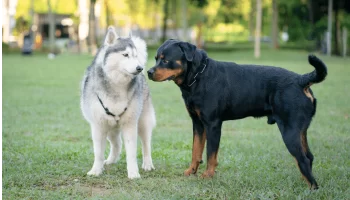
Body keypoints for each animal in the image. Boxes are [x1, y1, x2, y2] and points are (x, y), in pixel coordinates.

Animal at [80, 26, 156, 178]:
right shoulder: (98, 125)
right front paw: (96, 170)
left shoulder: (130, 124)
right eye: (125, 55)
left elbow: (131, 152)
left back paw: (147, 164)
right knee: (117, 144)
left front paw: (133, 173)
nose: (140, 68)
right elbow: (98, 153)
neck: (117, 84)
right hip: (110, 127)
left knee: (146, 144)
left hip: (143, 122)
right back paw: (110, 161)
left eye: (135, 56)